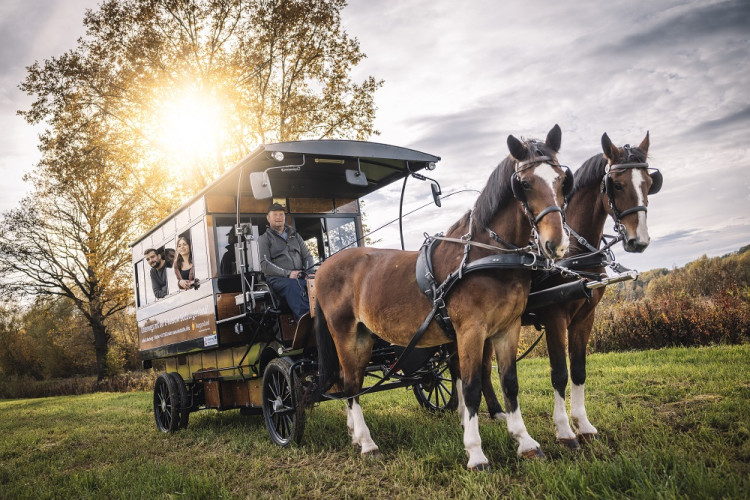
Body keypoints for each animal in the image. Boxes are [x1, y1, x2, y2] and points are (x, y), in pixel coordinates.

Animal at [316, 125, 568, 468]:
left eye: (562, 180)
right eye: (524, 184)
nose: (556, 244)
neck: (489, 256)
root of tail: (321, 268)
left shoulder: (507, 328)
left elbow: (509, 382)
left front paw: (525, 442)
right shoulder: (471, 330)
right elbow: (472, 387)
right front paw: (475, 453)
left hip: (364, 336)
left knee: (346, 378)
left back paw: (354, 433)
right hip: (344, 333)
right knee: (352, 385)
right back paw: (367, 442)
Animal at [482, 131, 664, 448]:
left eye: (648, 184)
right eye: (616, 184)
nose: (638, 241)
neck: (574, 255)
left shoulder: (585, 317)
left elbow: (578, 370)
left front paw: (584, 425)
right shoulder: (555, 318)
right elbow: (559, 373)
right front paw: (565, 431)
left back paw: (496, 411)